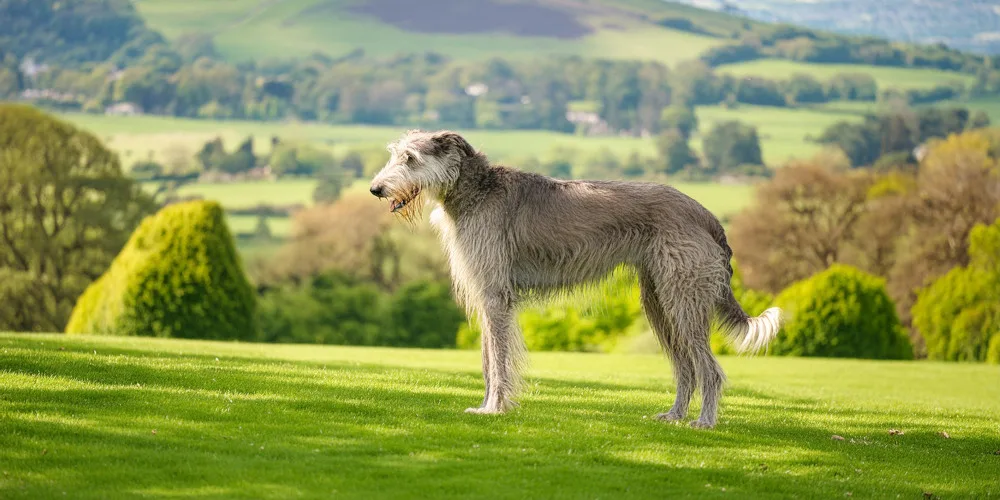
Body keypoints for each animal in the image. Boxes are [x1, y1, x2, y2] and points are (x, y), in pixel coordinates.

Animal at [368, 128, 780, 426]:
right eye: (394, 154)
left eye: (411, 158)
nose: (375, 189)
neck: (475, 189)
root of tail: (706, 215)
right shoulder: (487, 296)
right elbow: (488, 360)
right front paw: (486, 406)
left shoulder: (495, 295)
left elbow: (498, 361)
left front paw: (494, 409)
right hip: (659, 301)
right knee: (686, 367)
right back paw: (674, 416)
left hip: (683, 299)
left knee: (709, 370)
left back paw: (704, 422)